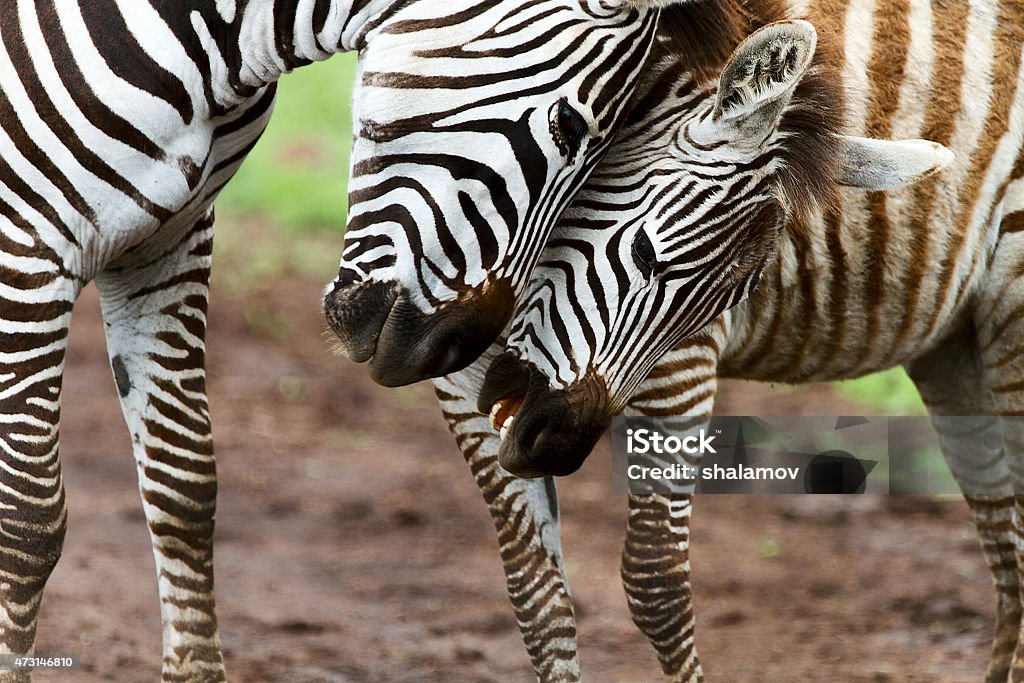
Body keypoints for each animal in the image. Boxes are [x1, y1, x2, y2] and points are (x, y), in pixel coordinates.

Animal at [0, 0, 712, 679]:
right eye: (569, 127)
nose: (451, 352)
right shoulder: (24, 254)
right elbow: (28, 518)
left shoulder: (168, 247)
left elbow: (183, 485)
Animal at [434, 1, 1024, 679]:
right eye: (644, 253)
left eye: (724, 299)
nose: (547, 441)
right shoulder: (449, 362)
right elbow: (535, 591)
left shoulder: (682, 366)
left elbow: (655, 581)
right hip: (957, 348)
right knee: (1007, 552)